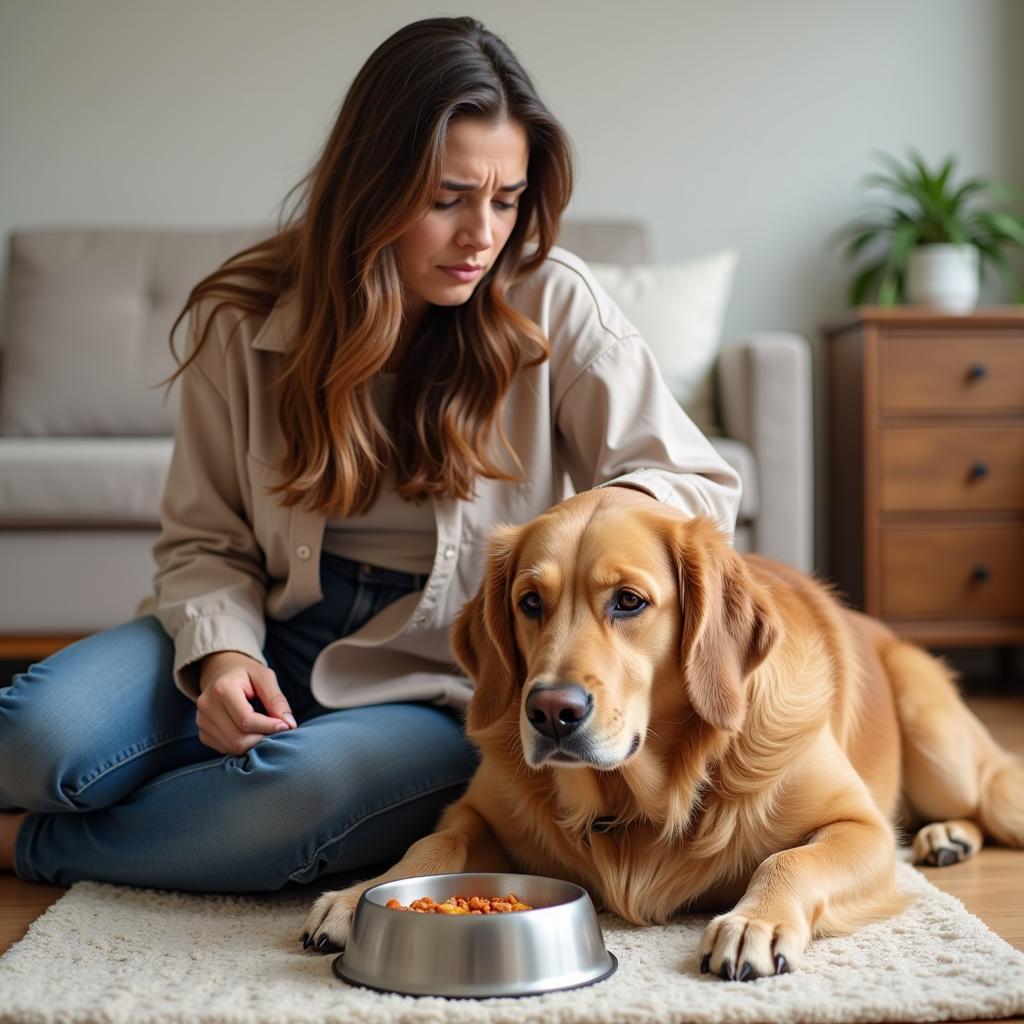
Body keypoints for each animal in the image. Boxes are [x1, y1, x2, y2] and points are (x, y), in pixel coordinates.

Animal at [303, 483, 1024, 978]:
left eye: (629, 601)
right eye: (529, 603)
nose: (551, 712)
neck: (643, 793)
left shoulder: (861, 826)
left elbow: (789, 858)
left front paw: (754, 922)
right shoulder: (476, 812)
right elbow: (434, 843)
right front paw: (359, 895)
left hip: (940, 748)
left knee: (987, 794)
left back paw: (948, 833)